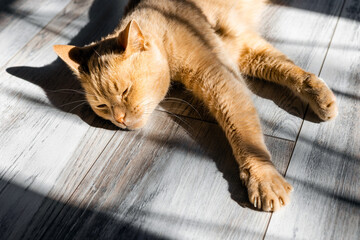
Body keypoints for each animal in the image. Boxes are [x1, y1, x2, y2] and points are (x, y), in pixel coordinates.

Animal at [53, 0, 338, 211]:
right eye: (102, 106)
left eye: (125, 91)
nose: (119, 119)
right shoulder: (244, 51)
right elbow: (287, 68)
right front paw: (319, 94)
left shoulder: (222, 78)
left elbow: (246, 135)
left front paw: (263, 178)